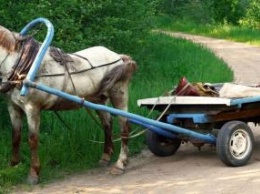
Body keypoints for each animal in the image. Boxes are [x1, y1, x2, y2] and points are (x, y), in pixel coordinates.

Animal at [0, 25, 138, 184]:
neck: (21, 66)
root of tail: (119, 57)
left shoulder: (32, 108)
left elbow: (32, 140)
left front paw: (33, 174)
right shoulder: (13, 107)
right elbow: (15, 136)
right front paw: (13, 166)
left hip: (118, 94)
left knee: (124, 127)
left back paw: (120, 164)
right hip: (98, 100)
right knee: (107, 124)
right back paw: (105, 156)